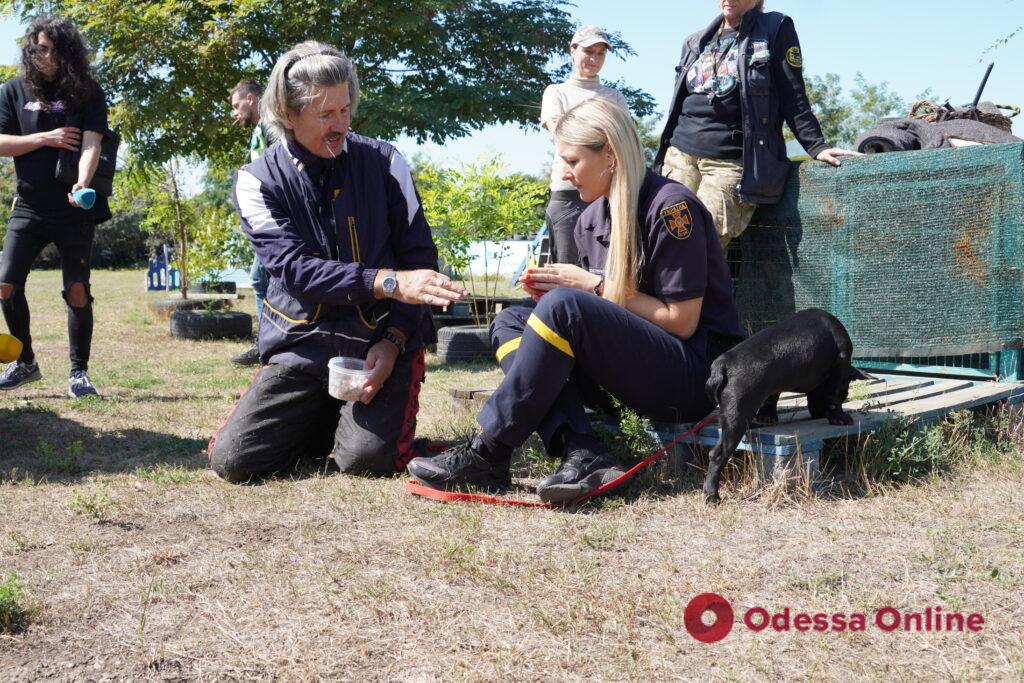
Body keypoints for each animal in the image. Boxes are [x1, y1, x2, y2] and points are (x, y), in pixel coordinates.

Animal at [704, 309, 872, 501]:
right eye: (846, 394)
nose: (817, 412)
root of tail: (723, 365)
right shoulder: (839, 366)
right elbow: (832, 398)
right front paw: (839, 418)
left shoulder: (776, 382)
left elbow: (772, 397)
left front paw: (767, 416)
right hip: (736, 418)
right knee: (717, 455)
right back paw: (711, 495)